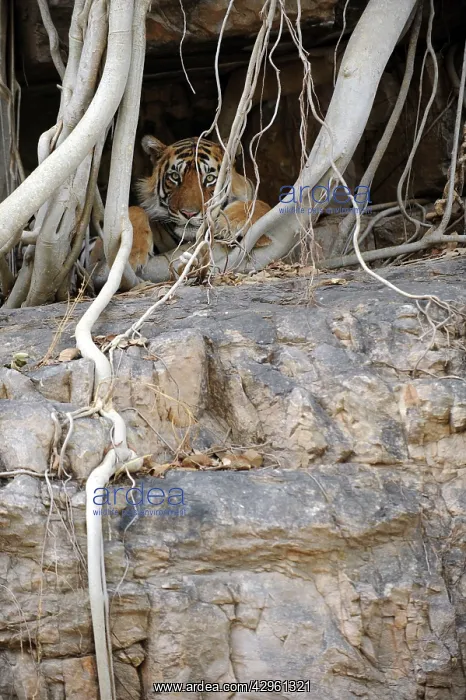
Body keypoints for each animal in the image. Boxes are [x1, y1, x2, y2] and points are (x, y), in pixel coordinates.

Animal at [87, 135, 271, 285]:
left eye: (210, 178)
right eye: (175, 177)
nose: (189, 213)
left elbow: (262, 205)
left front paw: (230, 223)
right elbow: (134, 210)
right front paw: (133, 254)